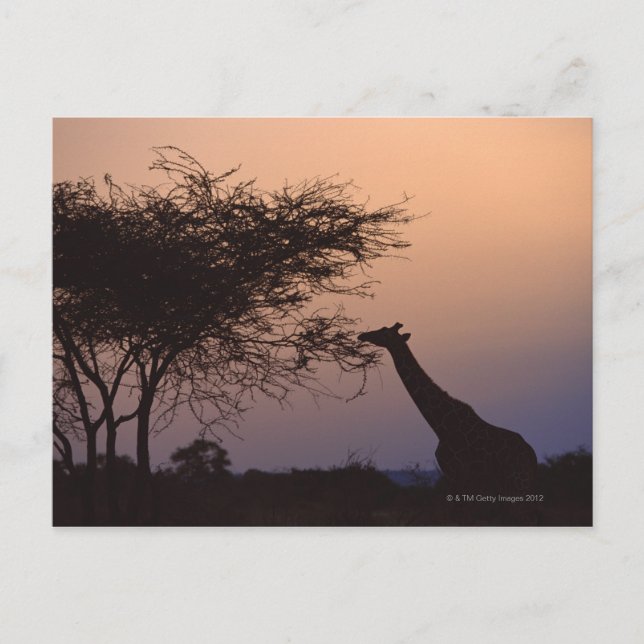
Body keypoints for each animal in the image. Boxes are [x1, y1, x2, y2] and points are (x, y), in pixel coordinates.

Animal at [358, 322, 538, 525]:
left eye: (384, 331)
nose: (362, 335)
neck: (440, 426)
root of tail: (531, 455)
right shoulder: (458, 477)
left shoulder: (456, 473)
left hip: (518, 481)